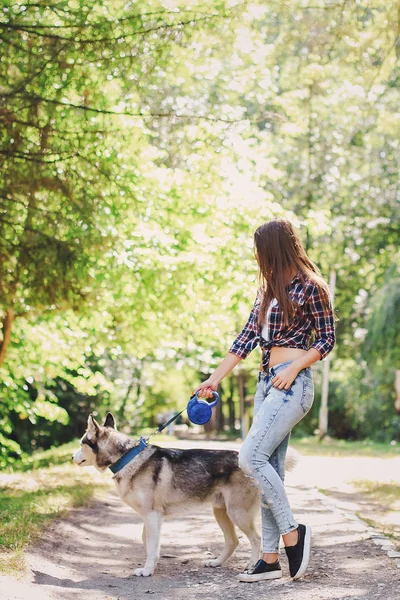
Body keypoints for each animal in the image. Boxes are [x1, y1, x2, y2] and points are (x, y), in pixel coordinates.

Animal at [72, 412, 296, 576]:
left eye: (82, 443)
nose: (71, 457)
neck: (127, 458)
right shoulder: (150, 518)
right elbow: (148, 542)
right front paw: (152, 564)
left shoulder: (152, 516)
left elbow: (151, 544)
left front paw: (147, 570)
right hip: (221, 512)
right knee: (233, 541)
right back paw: (216, 562)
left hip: (237, 513)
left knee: (256, 539)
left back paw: (251, 565)